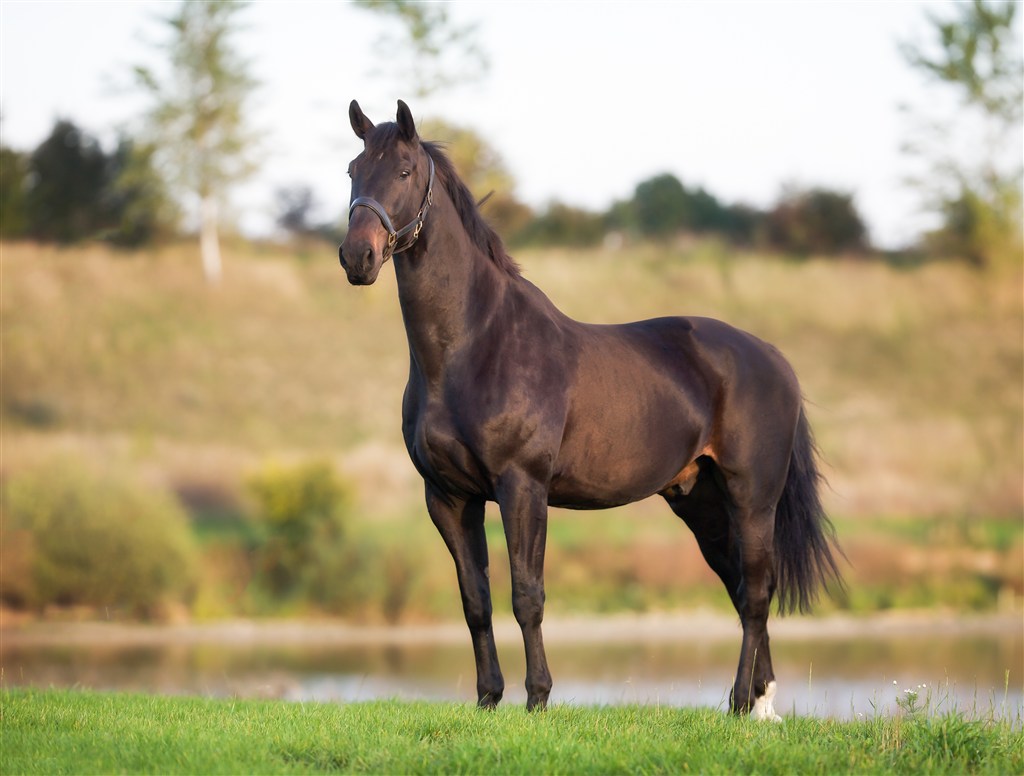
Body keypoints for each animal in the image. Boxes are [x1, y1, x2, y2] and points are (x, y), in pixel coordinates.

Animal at [339, 100, 843, 720]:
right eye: (353, 171)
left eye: (405, 171)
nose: (357, 256)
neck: (475, 345)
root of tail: (772, 357)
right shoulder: (449, 498)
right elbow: (475, 601)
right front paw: (488, 699)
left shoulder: (522, 487)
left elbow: (526, 595)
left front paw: (537, 699)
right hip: (700, 500)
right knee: (742, 584)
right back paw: (761, 705)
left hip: (753, 496)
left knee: (754, 591)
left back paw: (739, 702)